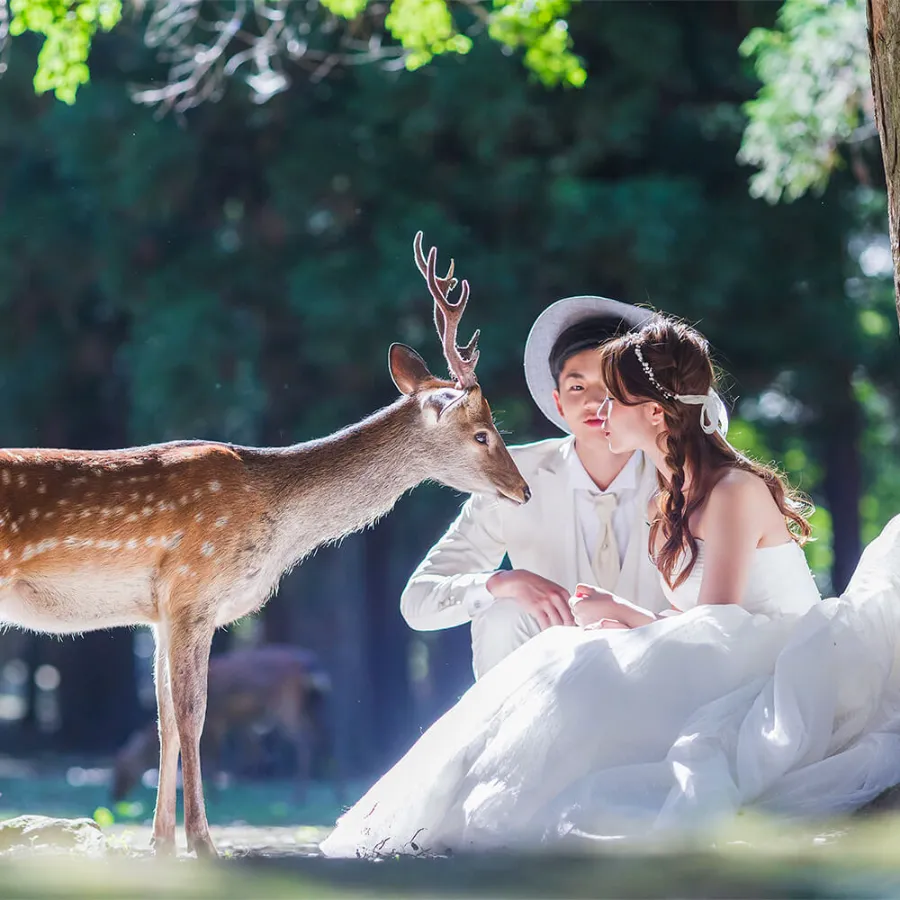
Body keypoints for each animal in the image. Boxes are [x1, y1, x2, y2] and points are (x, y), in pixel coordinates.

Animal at [0, 232, 532, 856]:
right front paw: (204, 844)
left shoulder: (158, 612)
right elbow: (193, 715)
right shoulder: (193, 590)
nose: (522, 489)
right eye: (483, 433)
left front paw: (161, 845)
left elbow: (163, 721)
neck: (274, 523)